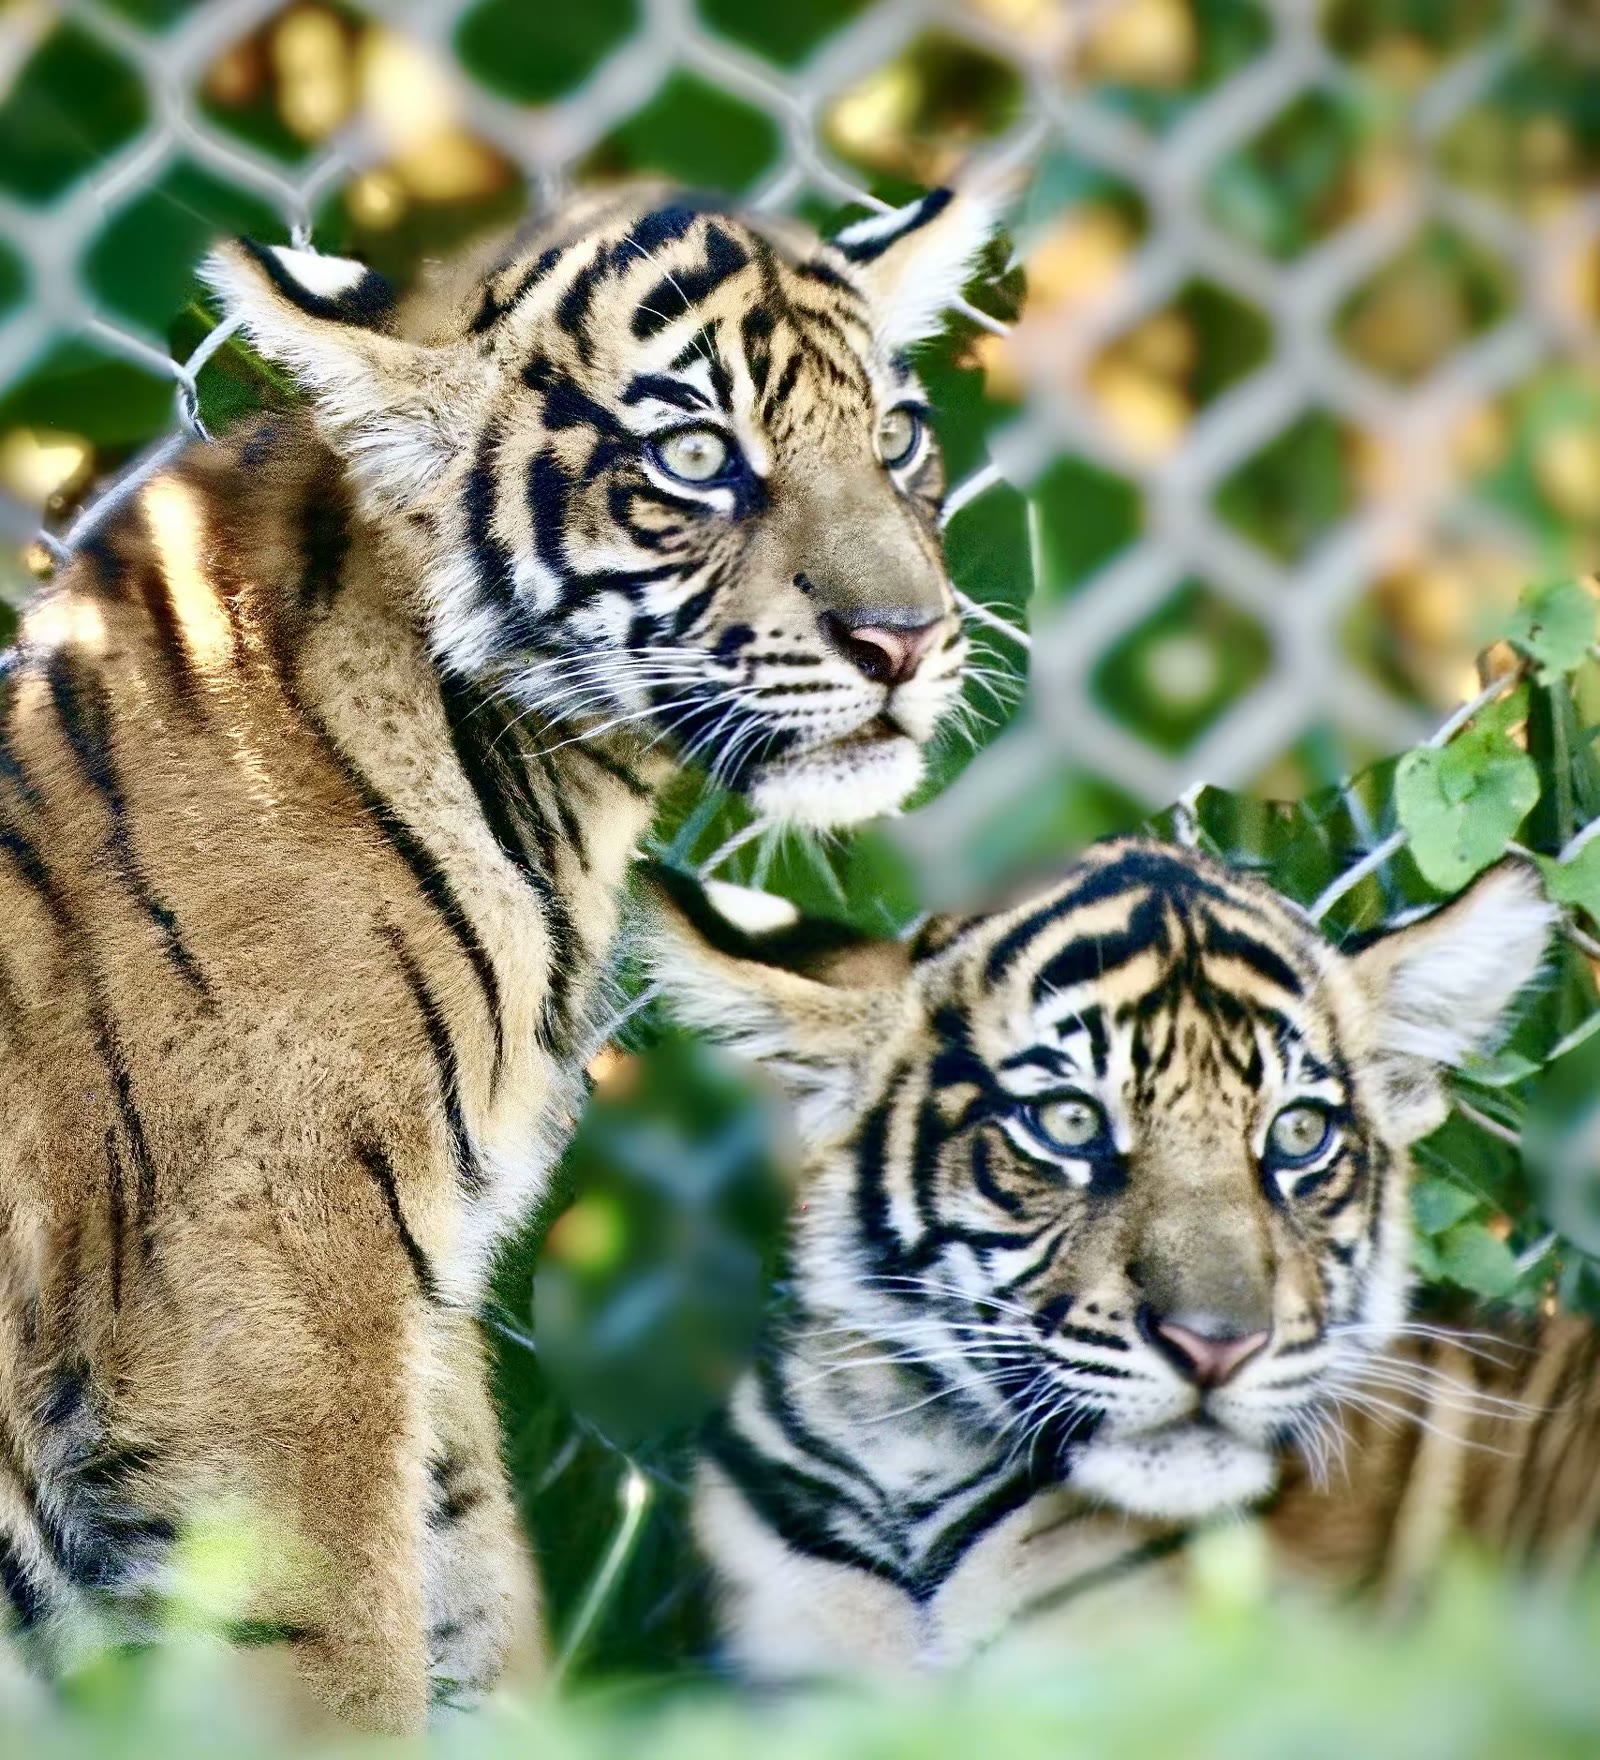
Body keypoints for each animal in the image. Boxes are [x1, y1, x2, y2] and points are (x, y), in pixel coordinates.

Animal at [0, 179, 1001, 1729]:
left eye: (892, 436)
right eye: (697, 455)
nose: (905, 638)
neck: (555, 806)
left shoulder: (414, 1306)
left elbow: (467, 1585)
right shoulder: (274, 1329)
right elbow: (348, 1658)